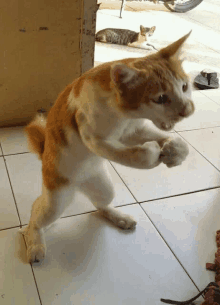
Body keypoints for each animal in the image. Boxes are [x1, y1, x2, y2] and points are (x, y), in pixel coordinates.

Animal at [20, 31, 194, 264]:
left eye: (184, 86)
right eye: (160, 98)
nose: (189, 110)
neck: (122, 113)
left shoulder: (133, 131)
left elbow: (163, 139)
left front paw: (176, 150)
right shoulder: (92, 137)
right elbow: (126, 154)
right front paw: (152, 153)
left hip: (104, 187)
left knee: (100, 204)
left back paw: (118, 217)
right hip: (55, 201)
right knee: (36, 215)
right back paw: (35, 243)